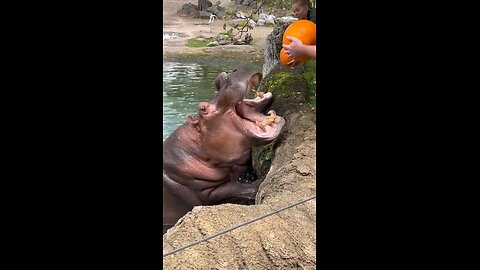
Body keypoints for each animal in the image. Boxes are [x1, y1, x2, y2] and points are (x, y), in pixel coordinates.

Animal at [165, 68, 284, 234]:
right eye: (203, 108)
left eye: (219, 83)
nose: (225, 76)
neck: (196, 146)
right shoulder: (207, 191)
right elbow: (235, 188)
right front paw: (260, 182)